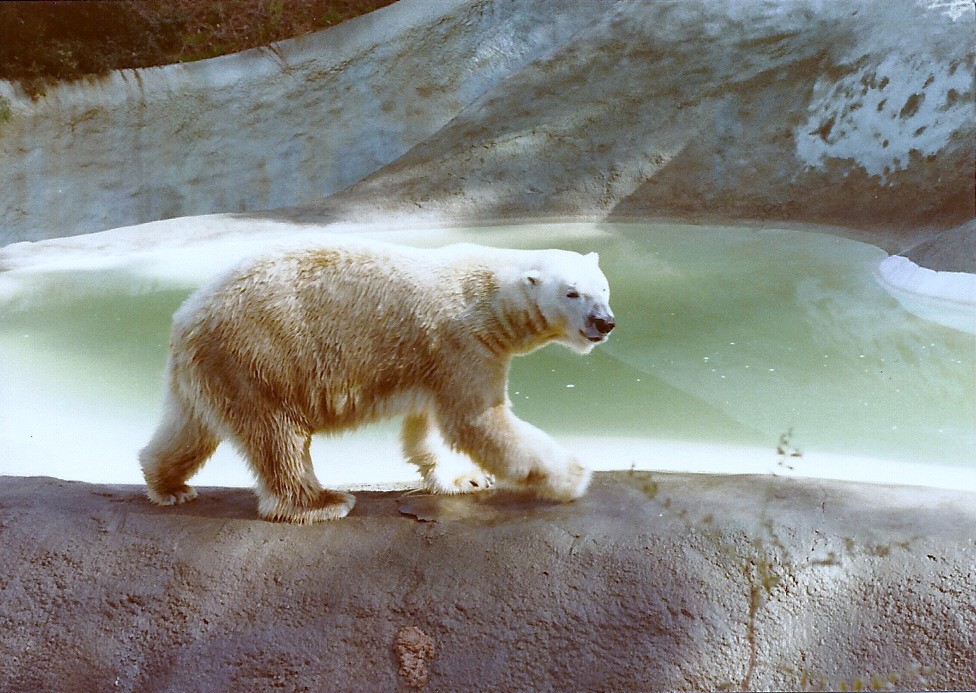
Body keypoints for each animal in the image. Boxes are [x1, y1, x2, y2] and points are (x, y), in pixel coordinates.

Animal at [139, 238, 615, 523]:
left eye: (604, 288)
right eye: (572, 292)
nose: (604, 322)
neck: (487, 295)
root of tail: (186, 316)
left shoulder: (436, 358)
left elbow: (430, 427)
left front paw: (465, 478)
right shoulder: (463, 341)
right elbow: (477, 421)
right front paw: (573, 476)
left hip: (207, 370)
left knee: (189, 427)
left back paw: (169, 486)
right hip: (259, 357)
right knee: (276, 436)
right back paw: (322, 502)